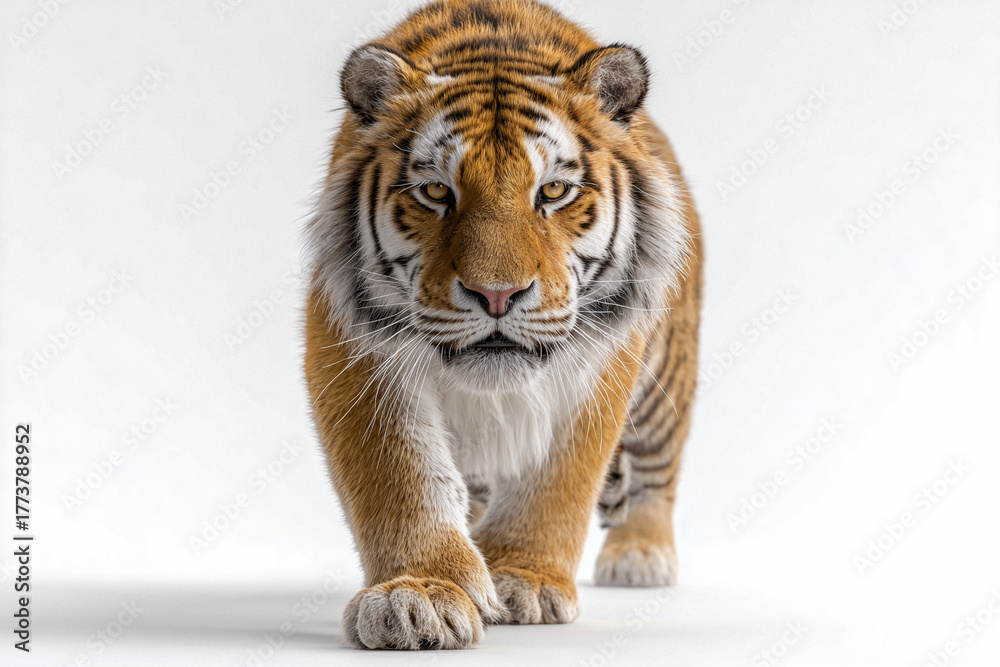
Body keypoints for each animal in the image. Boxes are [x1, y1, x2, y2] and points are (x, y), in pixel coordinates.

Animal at [304, 0, 702, 650]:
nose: (497, 295)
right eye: (435, 191)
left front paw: (524, 576)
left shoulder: (601, 361)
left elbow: (558, 480)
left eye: (555, 191)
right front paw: (420, 594)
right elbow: (400, 477)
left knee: (657, 462)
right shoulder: (355, 349)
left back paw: (639, 555)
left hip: (667, 371)